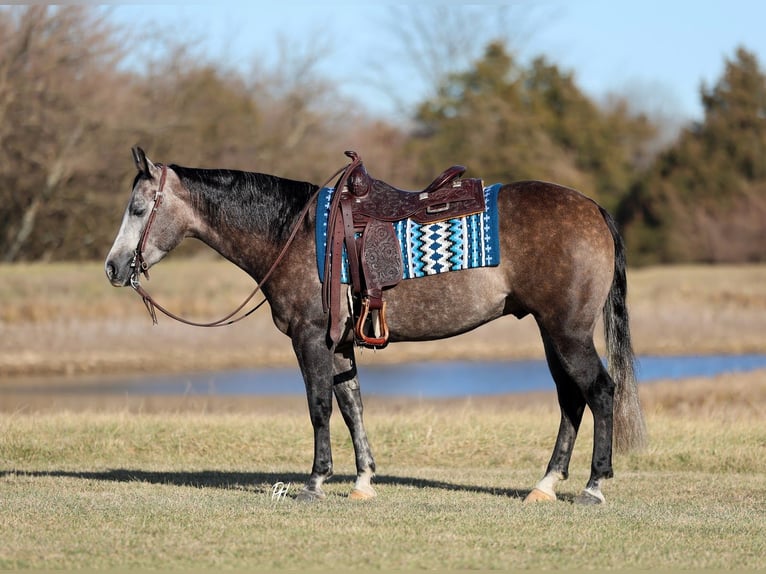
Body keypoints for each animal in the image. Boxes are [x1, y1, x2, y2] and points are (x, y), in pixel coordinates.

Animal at [105, 147, 646, 505]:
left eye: (138, 208)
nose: (112, 267)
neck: (293, 234)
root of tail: (592, 208)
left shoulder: (309, 339)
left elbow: (320, 407)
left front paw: (315, 482)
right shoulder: (339, 344)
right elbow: (352, 406)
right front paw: (363, 480)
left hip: (567, 332)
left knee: (600, 392)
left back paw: (593, 486)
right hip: (552, 332)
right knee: (571, 399)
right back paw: (545, 485)